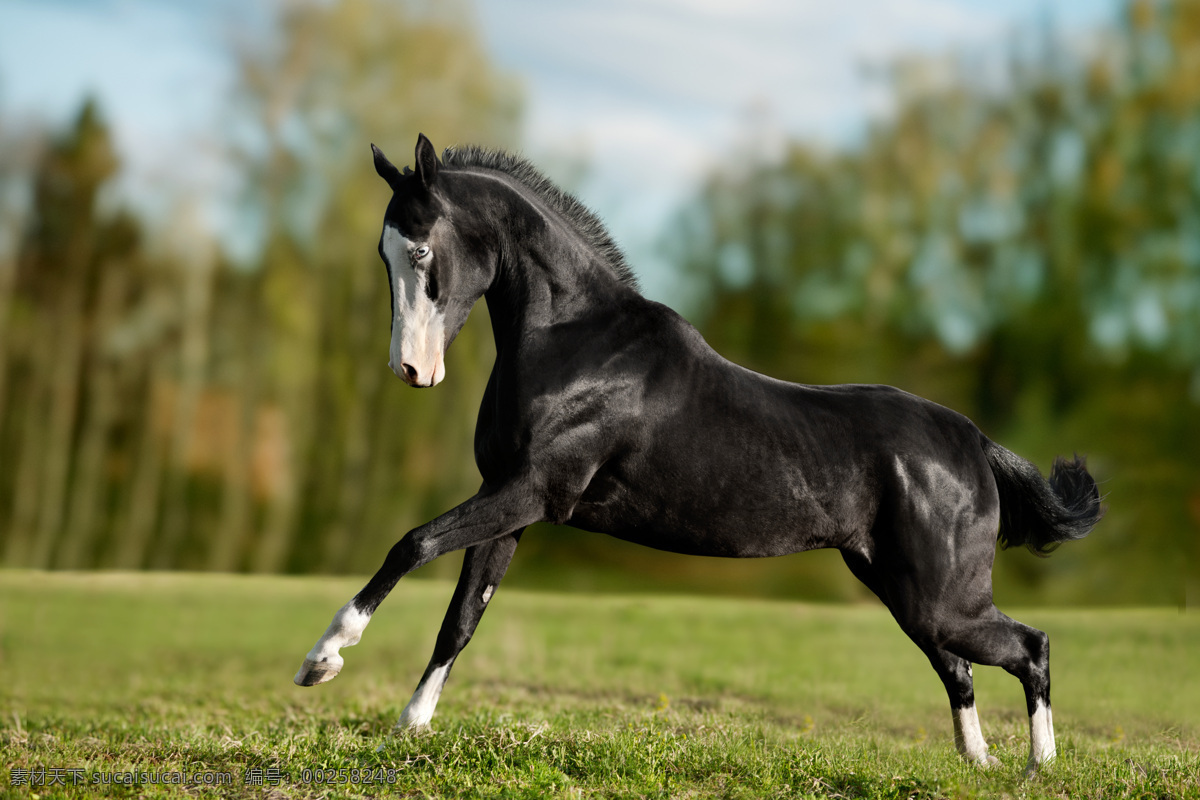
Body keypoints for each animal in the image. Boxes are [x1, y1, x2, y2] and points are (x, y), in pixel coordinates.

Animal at [295, 136, 1099, 777]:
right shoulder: (509, 504)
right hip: (904, 590)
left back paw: (1040, 766)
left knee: (1031, 646)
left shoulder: (533, 492)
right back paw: (980, 762)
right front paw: (409, 727)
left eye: (421, 249)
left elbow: (411, 544)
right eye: (384, 253)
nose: (411, 371)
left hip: (940, 597)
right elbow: (460, 618)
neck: (574, 341)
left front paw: (323, 660)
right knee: (961, 668)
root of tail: (975, 443)